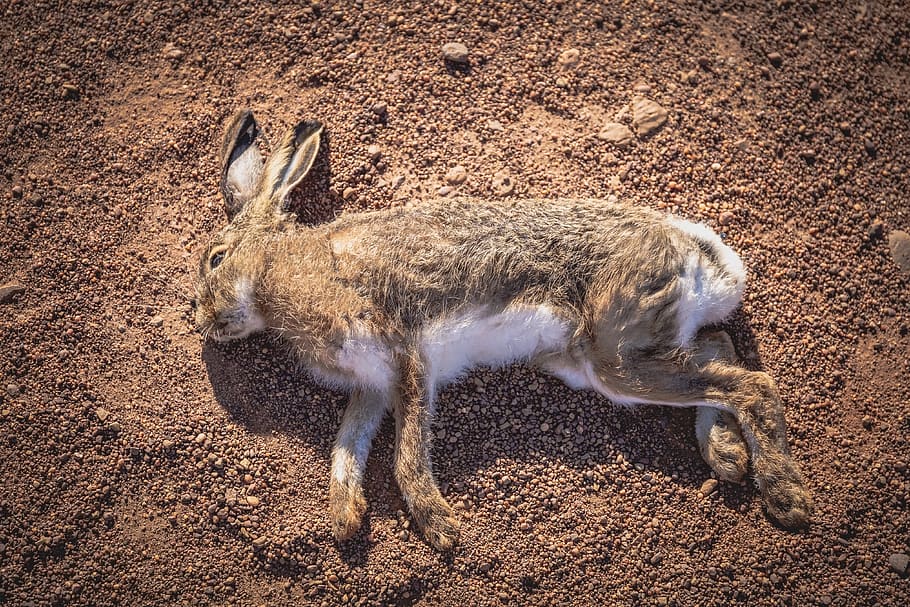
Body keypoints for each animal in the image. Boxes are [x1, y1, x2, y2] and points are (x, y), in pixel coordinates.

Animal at [194, 110, 812, 550]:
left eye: (215, 259)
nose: (202, 322)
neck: (281, 271)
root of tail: (699, 251)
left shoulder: (405, 354)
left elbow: (405, 454)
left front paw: (440, 527)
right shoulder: (370, 385)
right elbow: (347, 447)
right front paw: (345, 518)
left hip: (617, 353)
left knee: (752, 385)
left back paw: (786, 497)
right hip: (603, 359)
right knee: (718, 348)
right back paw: (727, 452)